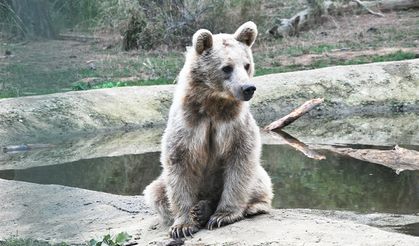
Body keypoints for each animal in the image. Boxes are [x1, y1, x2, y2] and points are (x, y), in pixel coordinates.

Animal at [144, 21, 274, 238]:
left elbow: (240, 161)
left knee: (260, 181)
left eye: (247, 65)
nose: (248, 88)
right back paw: (199, 210)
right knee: (157, 193)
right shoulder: (188, 126)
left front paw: (223, 216)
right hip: (160, 185)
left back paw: (246, 207)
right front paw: (182, 226)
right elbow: (179, 166)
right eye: (227, 68)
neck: (213, 104)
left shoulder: (236, 125)